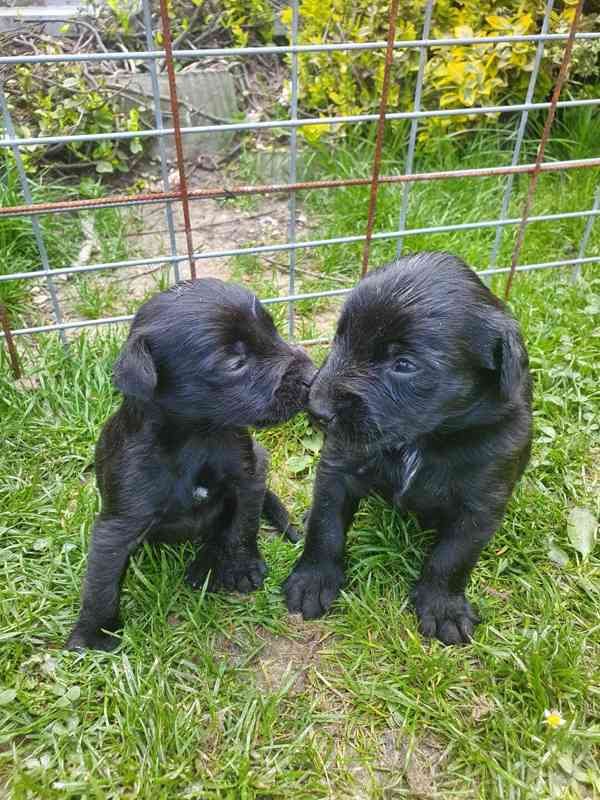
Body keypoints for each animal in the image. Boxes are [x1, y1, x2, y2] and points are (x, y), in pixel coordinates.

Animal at [68, 280, 316, 648]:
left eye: (272, 332)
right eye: (234, 362)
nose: (313, 376)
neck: (198, 438)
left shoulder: (249, 475)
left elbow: (241, 526)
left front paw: (242, 565)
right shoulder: (117, 525)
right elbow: (101, 583)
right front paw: (93, 634)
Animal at [284, 253, 532, 648]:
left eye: (404, 365)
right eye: (340, 338)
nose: (317, 409)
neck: (422, 439)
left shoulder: (481, 505)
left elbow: (452, 558)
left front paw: (443, 607)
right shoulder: (338, 465)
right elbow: (326, 527)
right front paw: (313, 580)